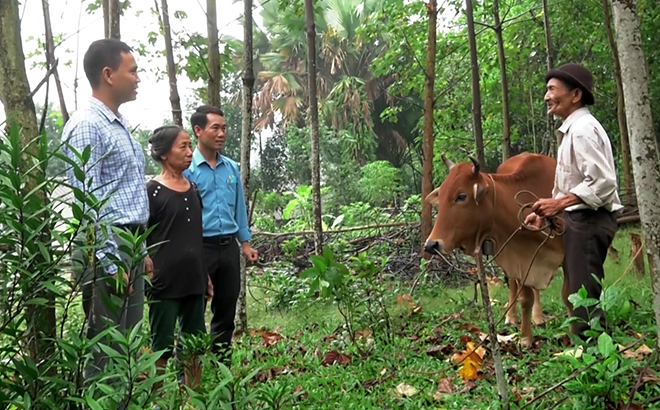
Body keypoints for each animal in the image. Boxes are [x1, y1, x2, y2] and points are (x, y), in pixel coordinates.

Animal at [426, 153, 568, 346]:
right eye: (440, 197)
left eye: (461, 196)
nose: (431, 245)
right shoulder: (518, 257)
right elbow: (525, 298)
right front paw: (525, 338)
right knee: (514, 285)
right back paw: (512, 317)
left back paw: (538, 317)